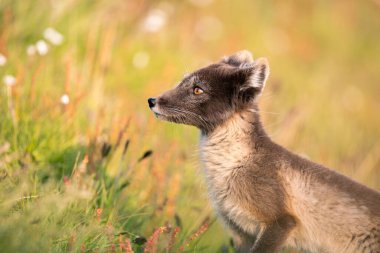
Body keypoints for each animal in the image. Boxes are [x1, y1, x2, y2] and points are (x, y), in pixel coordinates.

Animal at [147, 50, 378, 252]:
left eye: (198, 89)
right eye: (182, 82)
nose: (151, 100)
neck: (234, 164)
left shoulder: (281, 222)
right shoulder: (242, 233)